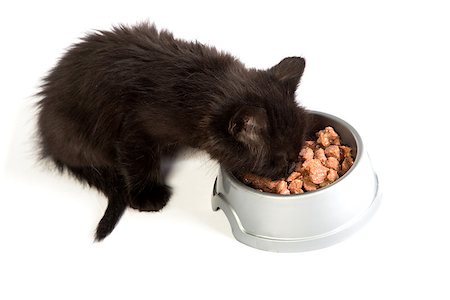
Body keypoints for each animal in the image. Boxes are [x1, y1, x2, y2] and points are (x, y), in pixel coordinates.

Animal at [37, 22, 310, 240]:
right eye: (279, 159)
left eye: (298, 149)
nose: (292, 166)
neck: (202, 89)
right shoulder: (136, 129)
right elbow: (139, 162)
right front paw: (147, 195)